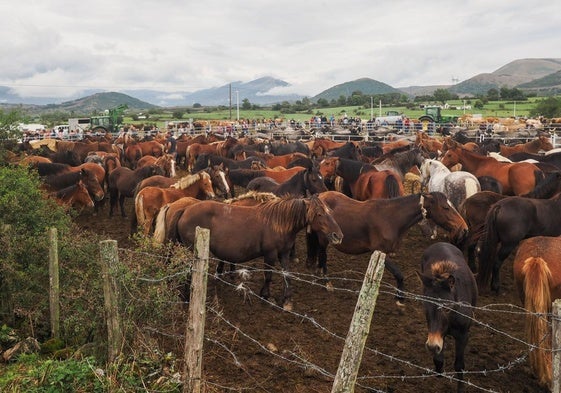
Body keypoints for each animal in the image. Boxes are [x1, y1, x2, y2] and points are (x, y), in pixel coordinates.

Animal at [167, 194, 342, 308]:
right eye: (319, 214)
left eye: (329, 211)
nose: (338, 236)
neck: (278, 222)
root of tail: (185, 210)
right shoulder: (270, 254)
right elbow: (268, 275)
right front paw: (266, 296)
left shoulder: (284, 254)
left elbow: (287, 274)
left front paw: (287, 299)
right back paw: (187, 298)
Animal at [304, 190, 466, 304]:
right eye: (445, 207)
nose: (464, 228)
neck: (391, 218)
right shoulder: (379, 251)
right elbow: (399, 274)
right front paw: (400, 299)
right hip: (324, 239)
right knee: (323, 256)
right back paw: (326, 281)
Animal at [418, 242, 474, 392]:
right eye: (424, 305)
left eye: (447, 308)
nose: (432, 346)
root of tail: (441, 242)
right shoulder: (436, 332)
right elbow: (438, 359)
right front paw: (439, 371)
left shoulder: (463, 335)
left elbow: (459, 365)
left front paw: (461, 388)